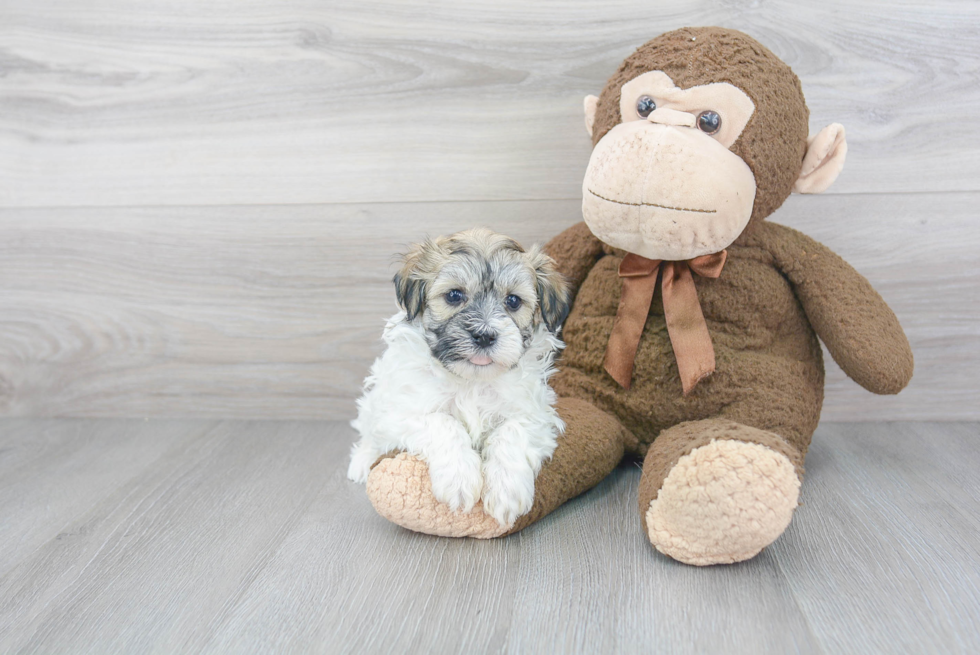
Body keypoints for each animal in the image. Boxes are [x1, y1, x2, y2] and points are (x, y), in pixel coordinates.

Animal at [348, 227, 572, 528]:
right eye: (454, 295)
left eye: (513, 301)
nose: (484, 335)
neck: (471, 381)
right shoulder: (401, 412)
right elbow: (443, 422)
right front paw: (459, 480)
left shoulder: (535, 415)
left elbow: (511, 431)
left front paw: (507, 491)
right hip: (375, 403)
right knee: (369, 434)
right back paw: (361, 463)